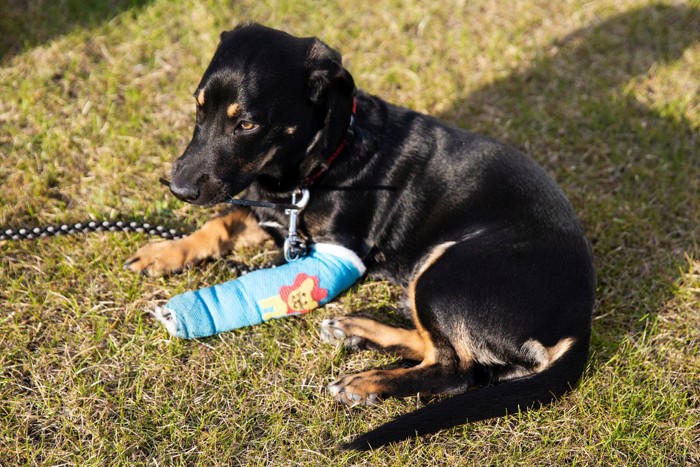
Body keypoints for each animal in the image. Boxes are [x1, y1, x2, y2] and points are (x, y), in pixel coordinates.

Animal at [123, 23, 592, 452]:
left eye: (247, 124)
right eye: (198, 109)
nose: (178, 189)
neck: (325, 156)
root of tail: (577, 325)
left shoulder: (331, 249)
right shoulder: (265, 207)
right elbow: (217, 224)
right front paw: (162, 252)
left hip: (444, 273)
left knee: (457, 371)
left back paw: (366, 382)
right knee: (434, 347)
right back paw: (355, 330)